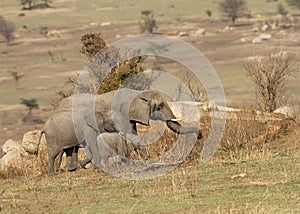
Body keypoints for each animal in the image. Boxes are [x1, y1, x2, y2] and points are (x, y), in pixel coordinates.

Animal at [38, 88, 200, 176]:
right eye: (160, 106)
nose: (200, 135)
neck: (137, 94)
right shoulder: (123, 114)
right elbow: (130, 135)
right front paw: (142, 160)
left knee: (70, 149)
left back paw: (71, 169)